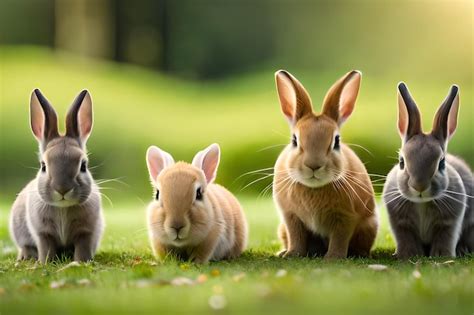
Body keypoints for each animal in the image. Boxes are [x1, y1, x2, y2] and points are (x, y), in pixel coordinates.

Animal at [8, 89, 104, 264]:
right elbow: (46, 247)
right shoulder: (43, 233)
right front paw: (45, 263)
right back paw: (25, 257)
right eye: (43, 166)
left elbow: (82, 247)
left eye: (83, 165)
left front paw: (81, 261)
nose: (62, 189)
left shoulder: (86, 232)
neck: (63, 208)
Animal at [274, 69, 378, 260]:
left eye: (336, 141)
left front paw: (333, 258)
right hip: (282, 228)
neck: (313, 188)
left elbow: (339, 238)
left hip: (368, 227)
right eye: (294, 140)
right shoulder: (291, 216)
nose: (314, 166)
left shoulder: (345, 217)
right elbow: (296, 236)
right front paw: (292, 254)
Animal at [384, 84, 472, 260]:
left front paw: (442, 256)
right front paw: (408, 255)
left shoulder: (449, 223)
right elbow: (406, 238)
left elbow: (445, 238)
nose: (419, 186)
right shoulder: (401, 224)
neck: (422, 203)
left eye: (442, 163)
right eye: (401, 162)